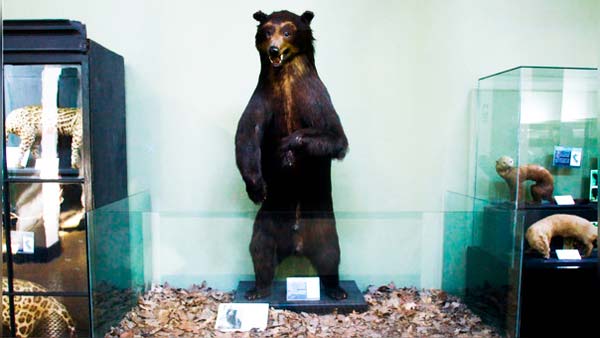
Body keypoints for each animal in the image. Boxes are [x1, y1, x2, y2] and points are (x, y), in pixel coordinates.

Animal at [233, 10, 346, 302]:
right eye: (267, 30)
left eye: (287, 30)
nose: (274, 49)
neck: (285, 80)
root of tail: (297, 243)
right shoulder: (263, 101)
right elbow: (246, 139)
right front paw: (257, 187)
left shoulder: (314, 97)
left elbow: (336, 138)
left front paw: (289, 145)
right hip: (268, 221)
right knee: (260, 250)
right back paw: (257, 289)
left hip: (322, 223)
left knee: (331, 254)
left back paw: (337, 290)